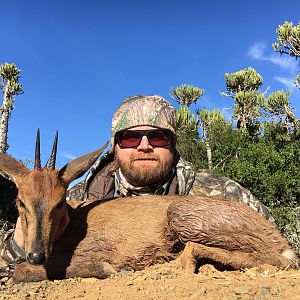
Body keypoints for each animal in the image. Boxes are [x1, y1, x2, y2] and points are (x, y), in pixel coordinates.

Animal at [0, 131, 298, 282]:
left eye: (60, 201)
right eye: (20, 201)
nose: (36, 254)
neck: (74, 223)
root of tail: (278, 237)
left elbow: (20, 272)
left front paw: (107, 269)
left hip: (181, 216)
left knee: (275, 260)